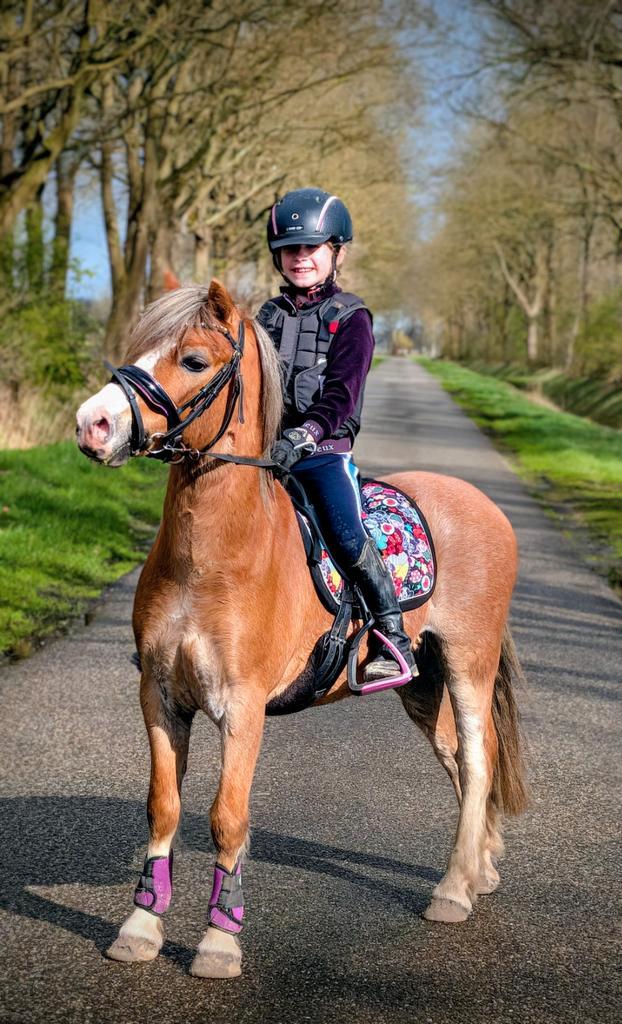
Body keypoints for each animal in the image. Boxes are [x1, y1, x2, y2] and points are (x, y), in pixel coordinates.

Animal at [75, 280, 527, 979]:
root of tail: (485, 507)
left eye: (195, 360)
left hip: (468, 663)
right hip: (422, 684)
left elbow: (228, 818)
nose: (91, 424)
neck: (212, 559)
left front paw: (219, 940)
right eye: (138, 347)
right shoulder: (160, 697)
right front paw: (140, 926)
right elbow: (164, 806)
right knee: (457, 759)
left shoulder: (242, 708)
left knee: (479, 762)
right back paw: (479, 871)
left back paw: (453, 891)